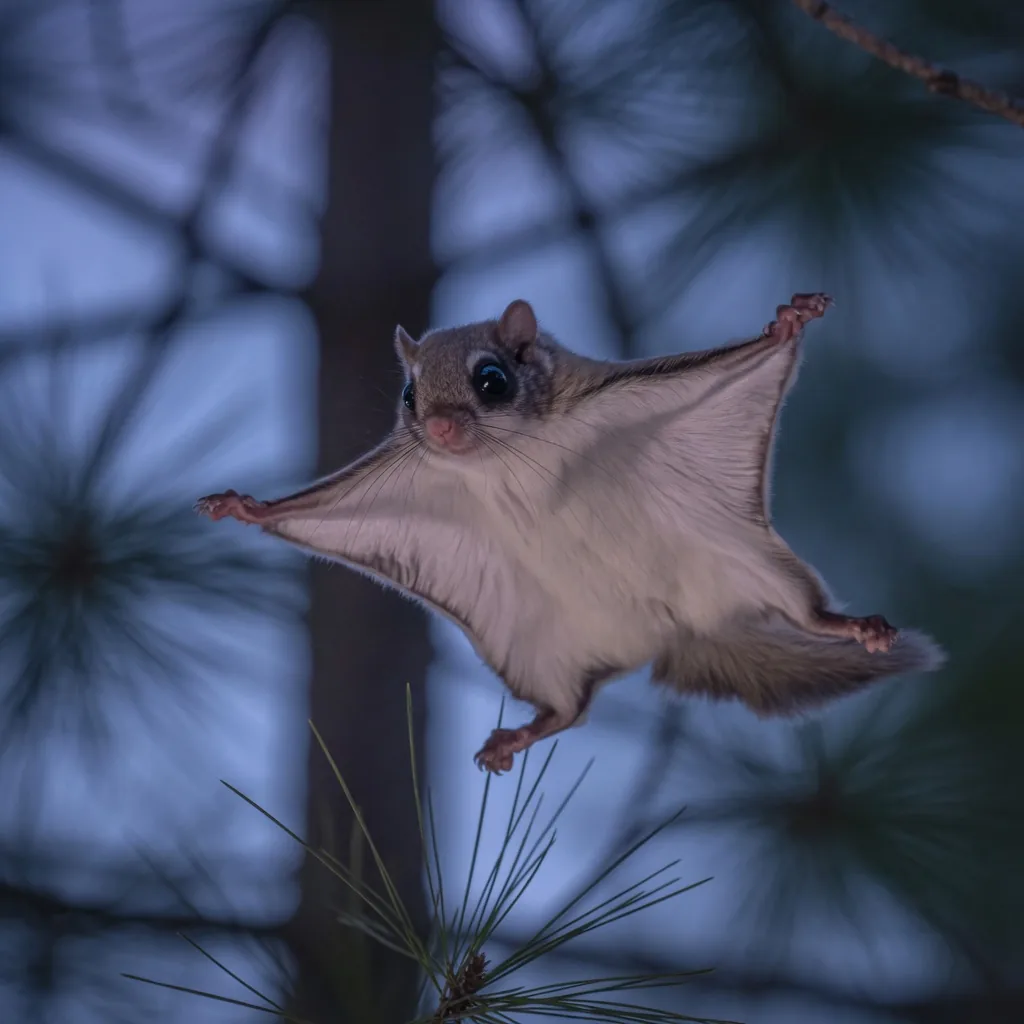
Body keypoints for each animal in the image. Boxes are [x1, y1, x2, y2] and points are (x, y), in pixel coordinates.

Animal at [196, 295, 944, 773]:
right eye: (409, 394)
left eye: (491, 379)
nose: (437, 428)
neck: (507, 466)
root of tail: (671, 634)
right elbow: (301, 509)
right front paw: (249, 509)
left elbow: (750, 357)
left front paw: (786, 325)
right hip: (538, 649)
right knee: (570, 711)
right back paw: (517, 737)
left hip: (750, 565)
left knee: (804, 612)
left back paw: (850, 628)